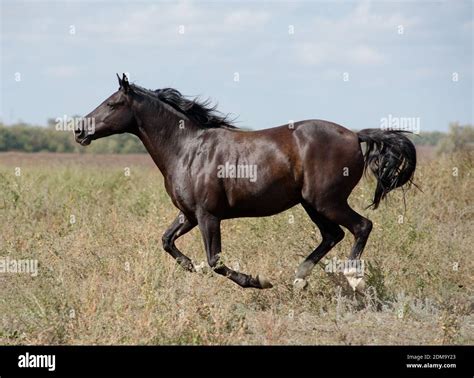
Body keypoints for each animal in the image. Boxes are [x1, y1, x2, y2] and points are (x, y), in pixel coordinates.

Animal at [74, 74, 414, 290]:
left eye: (112, 104)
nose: (79, 130)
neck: (186, 149)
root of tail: (355, 135)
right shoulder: (188, 215)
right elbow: (167, 241)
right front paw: (190, 267)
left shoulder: (208, 216)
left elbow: (215, 262)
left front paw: (257, 281)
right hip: (311, 204)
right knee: (333, 235)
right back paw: (299, 278)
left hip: (326, 201)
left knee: (361, 226)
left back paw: (352, 277)